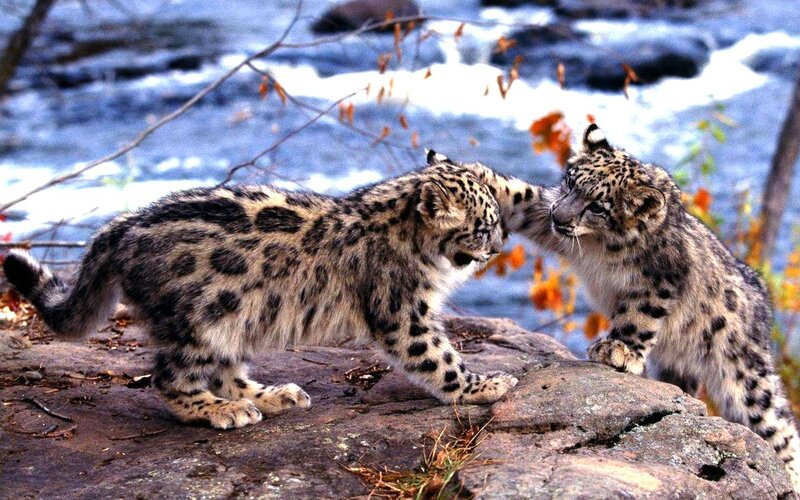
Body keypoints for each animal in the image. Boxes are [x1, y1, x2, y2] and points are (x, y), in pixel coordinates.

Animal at [2, 162, 518, 429]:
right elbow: (438, 358)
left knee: (227, 370)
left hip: (234, 319)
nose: (500, 246)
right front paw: (484, 385)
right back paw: (224, 411)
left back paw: (273, 395)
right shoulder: (402, 311)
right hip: (200, 321)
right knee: (169, 378)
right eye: (485, 225)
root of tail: (123, 224)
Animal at [427, 124, 800, 490]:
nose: (559, 215)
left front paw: (618, 349)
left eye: (598, 206)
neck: (597, 246)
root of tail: (763, 304)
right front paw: (465, 170)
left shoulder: (660, 278)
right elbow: (520, 196)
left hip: (744, 374)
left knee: (778, 425)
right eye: (571, 182)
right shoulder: (544, 214)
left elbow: (638, 314)